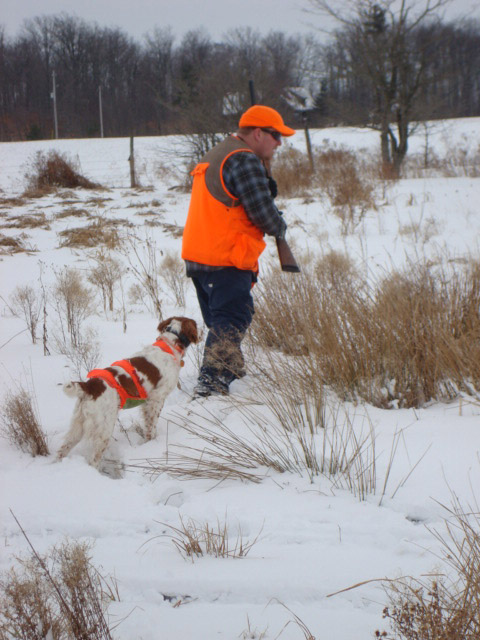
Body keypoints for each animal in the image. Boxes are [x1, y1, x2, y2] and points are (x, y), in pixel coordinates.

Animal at [56, 318, 199, 468]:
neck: (170, 344)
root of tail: (89, 386)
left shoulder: (147, 402)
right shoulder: (157, 398)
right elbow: (152, 425)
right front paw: (152, 442)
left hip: (77, 426)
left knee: (62, 450)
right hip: (104, 429)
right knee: (93, 459)